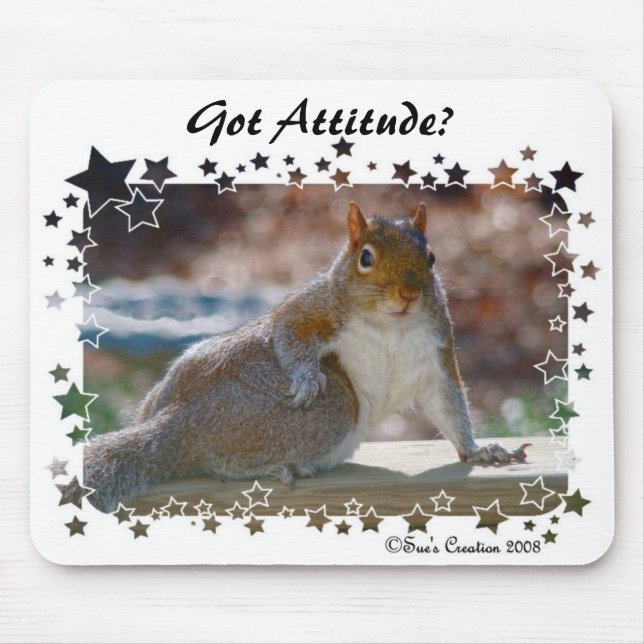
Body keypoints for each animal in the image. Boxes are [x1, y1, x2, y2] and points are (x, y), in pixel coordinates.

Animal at [83, 202, 530, 512]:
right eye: (365, 258)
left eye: (431, 258)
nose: (408, 294)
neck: (392, 324)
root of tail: (179, 418)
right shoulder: (318, 306)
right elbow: (288, 327)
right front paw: (306, 377)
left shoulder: (437, 351)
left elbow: (449, 404)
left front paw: (480, 452)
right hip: (328, 408)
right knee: (215, 461)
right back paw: (275, 466)